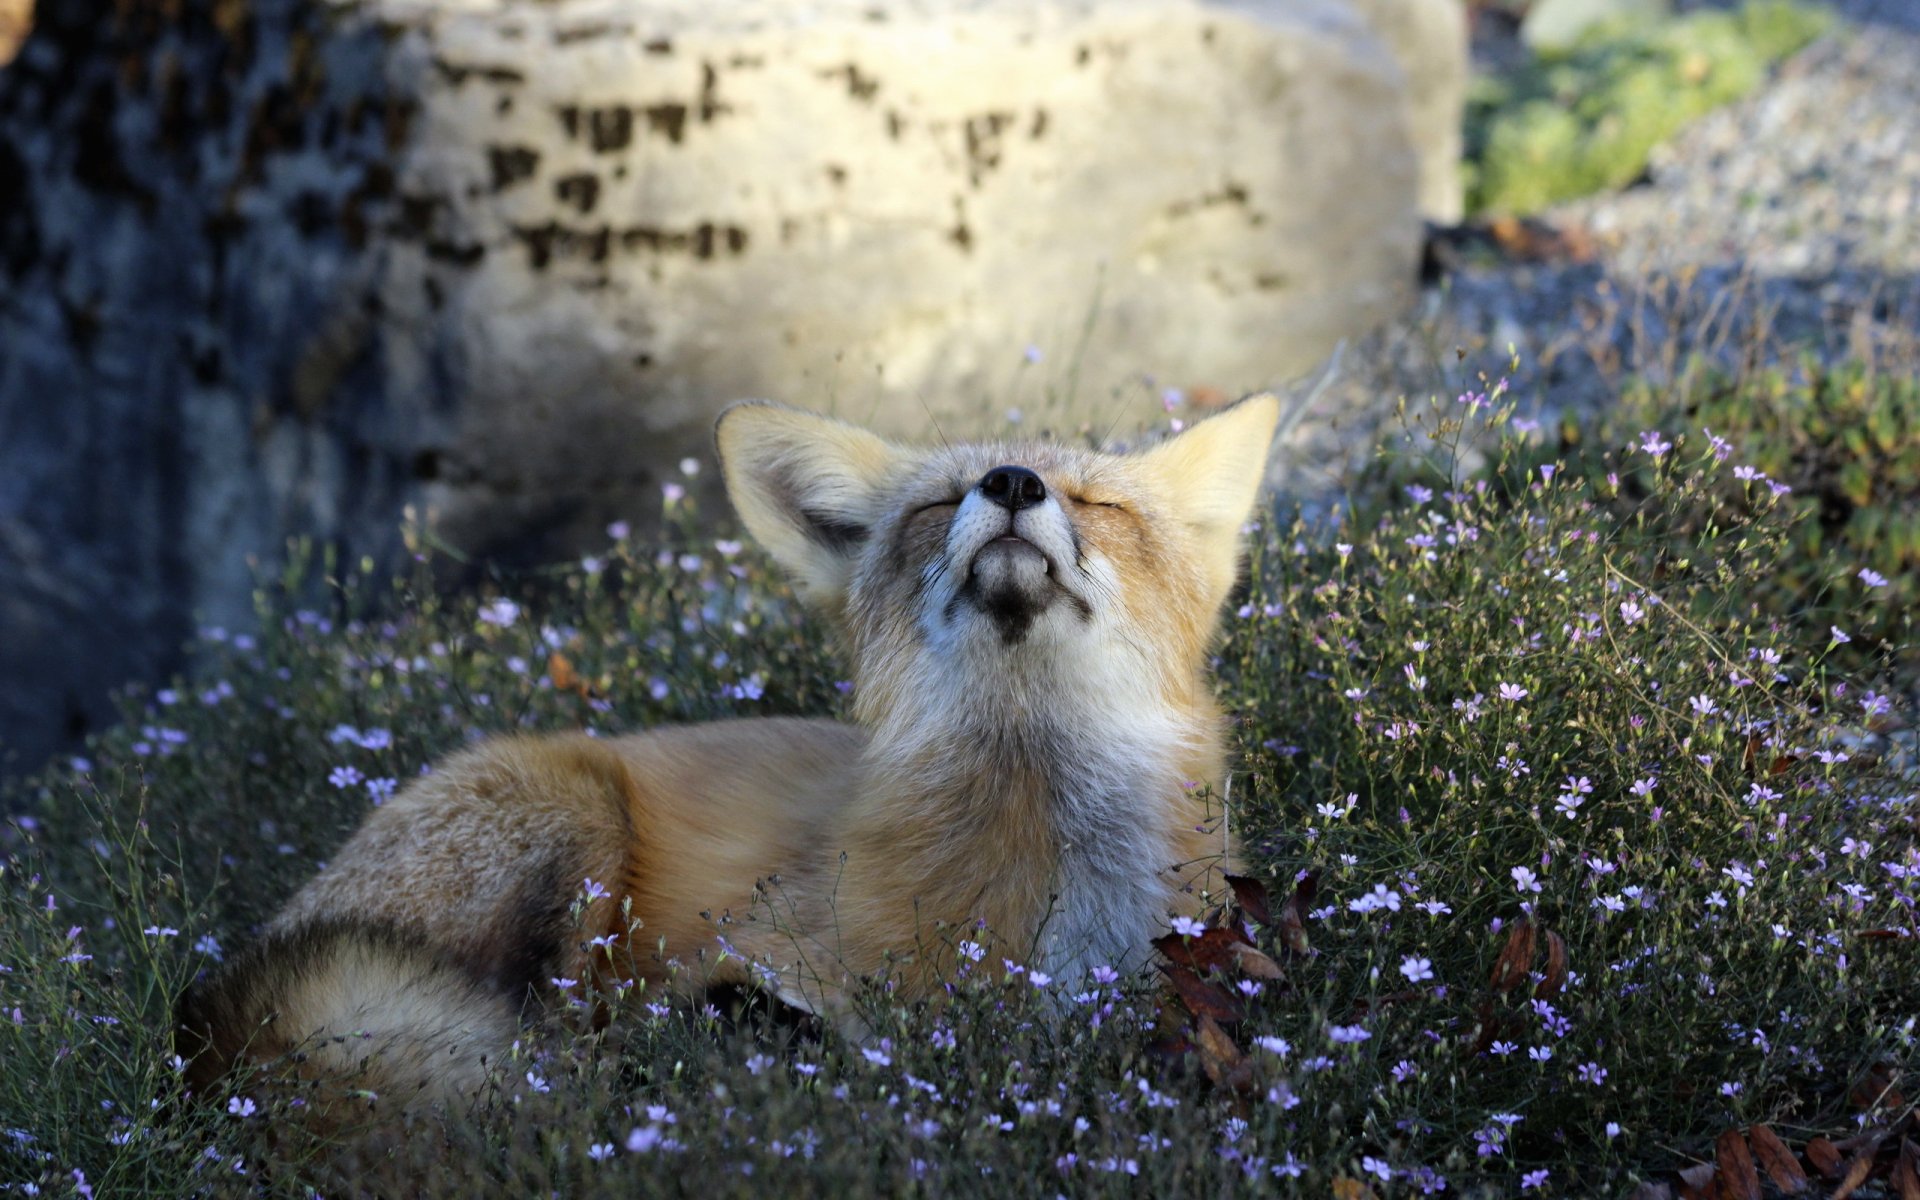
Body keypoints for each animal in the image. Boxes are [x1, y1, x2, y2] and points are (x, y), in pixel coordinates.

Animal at [174, 393, 1283, 1114]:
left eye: (1100, 506)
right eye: (942, 502)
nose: (1012, 484)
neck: (1045, 859)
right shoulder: (767, 942)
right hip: (577, 822)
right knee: (554, 1052)